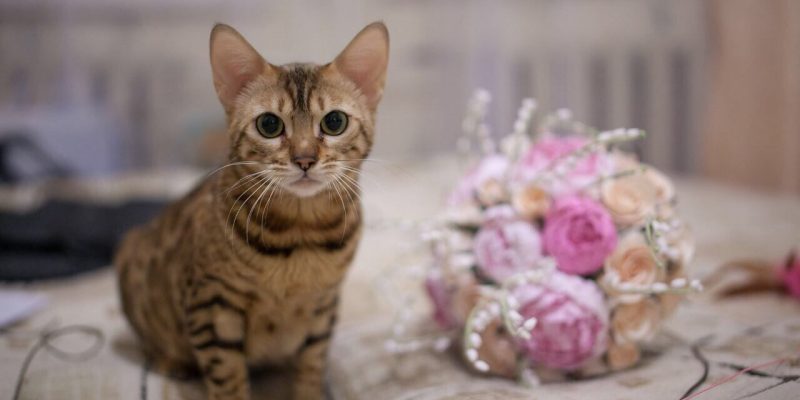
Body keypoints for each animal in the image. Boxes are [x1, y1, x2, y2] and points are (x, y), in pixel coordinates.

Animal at [116, 22, 390, 400]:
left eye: (334, 121)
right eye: (269, 125)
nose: (304, 159)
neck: (300, 237)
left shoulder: (324, 306)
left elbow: (312, 363)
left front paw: (309, 392)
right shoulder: (211, 305)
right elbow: (227, 377)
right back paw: (170, 360)